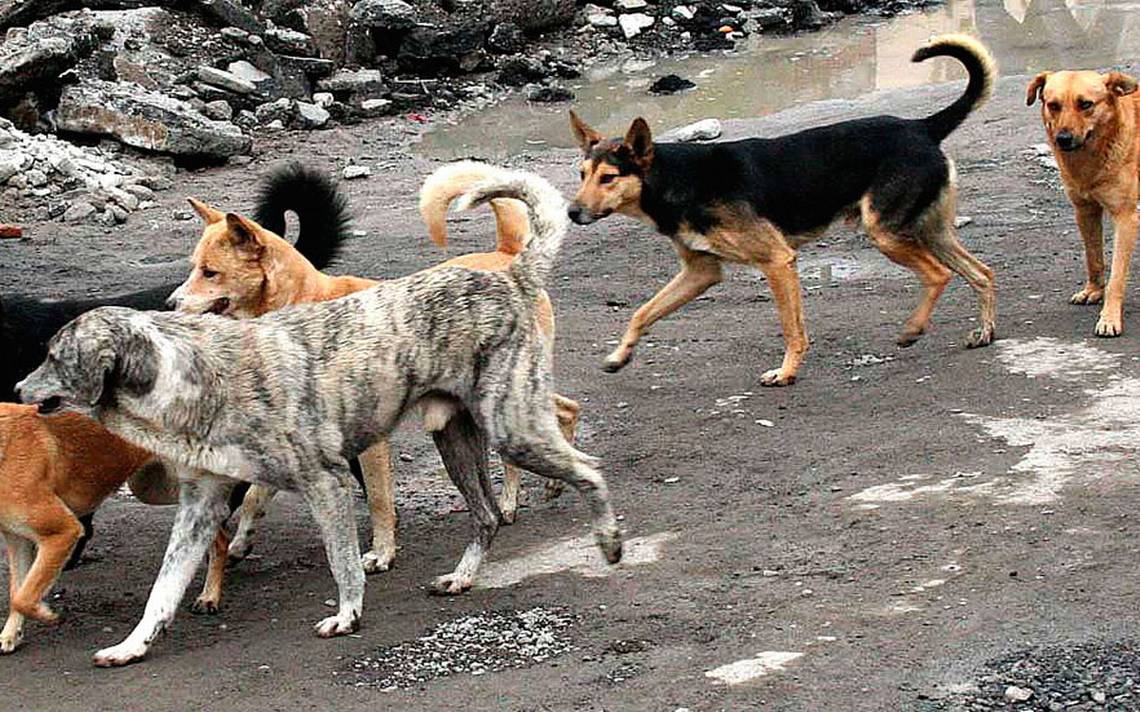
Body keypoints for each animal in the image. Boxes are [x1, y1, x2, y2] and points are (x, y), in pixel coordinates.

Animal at [0, 403, 229, 651]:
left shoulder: (63, 531)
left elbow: (24, 596)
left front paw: (46, 614)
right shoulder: (18, 540)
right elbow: (17, 591)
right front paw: (11, 635)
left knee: (220, 536)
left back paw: (209, 596)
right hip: (155, 488)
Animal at [173, 162, 583, 610]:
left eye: (210, 272)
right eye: (193, 266)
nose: (171, 303)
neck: (298, 301)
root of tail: (507, 258)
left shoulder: (369, 446)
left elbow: (379, 500)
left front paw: (382, 554)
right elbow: (254, 495)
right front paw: (242, 540)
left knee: (558, 418)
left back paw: (523, 494)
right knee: (562, 412)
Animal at [570, 34, 998, 382]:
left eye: (608, 178)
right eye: (582, 174)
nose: (572, 213)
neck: (674, 179)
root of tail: (922, 126)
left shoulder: (777, 261)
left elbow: (792, 328)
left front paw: (786, 372)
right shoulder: (700, 272)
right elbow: (642, 312)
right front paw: (619, 356)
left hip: (886, 233)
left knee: (939, 275)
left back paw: (913, 329)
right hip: (929, 230)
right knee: (982, 273)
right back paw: (985, 332)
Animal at [1030, 68, 1135, 334]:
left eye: (1086, 104)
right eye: (1053, 105)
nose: (1063, 138)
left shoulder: (1126, 217)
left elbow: (1117, 276)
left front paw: (1109, 317)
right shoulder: (1085, 210)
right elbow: (1093, 257)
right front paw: (1093, 291)